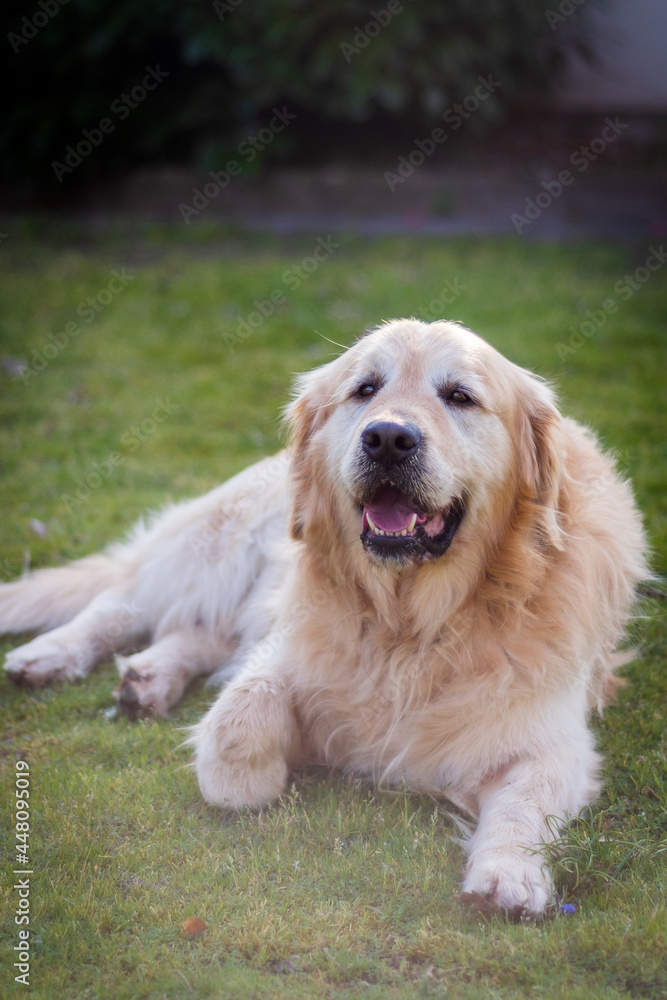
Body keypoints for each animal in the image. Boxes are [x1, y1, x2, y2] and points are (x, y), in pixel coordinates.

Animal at [0, 324, 648, 916]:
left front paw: (509, 875)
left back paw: (148, 679)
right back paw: (49, 656)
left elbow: (525, 799)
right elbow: (237, 723)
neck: (412, 626)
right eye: (365, 388)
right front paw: (262, 770)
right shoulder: (286, 646)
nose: (388, 438)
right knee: (123, 599)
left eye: (460, 395)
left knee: (197, 632)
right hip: (221, 544)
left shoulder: (553, 735)